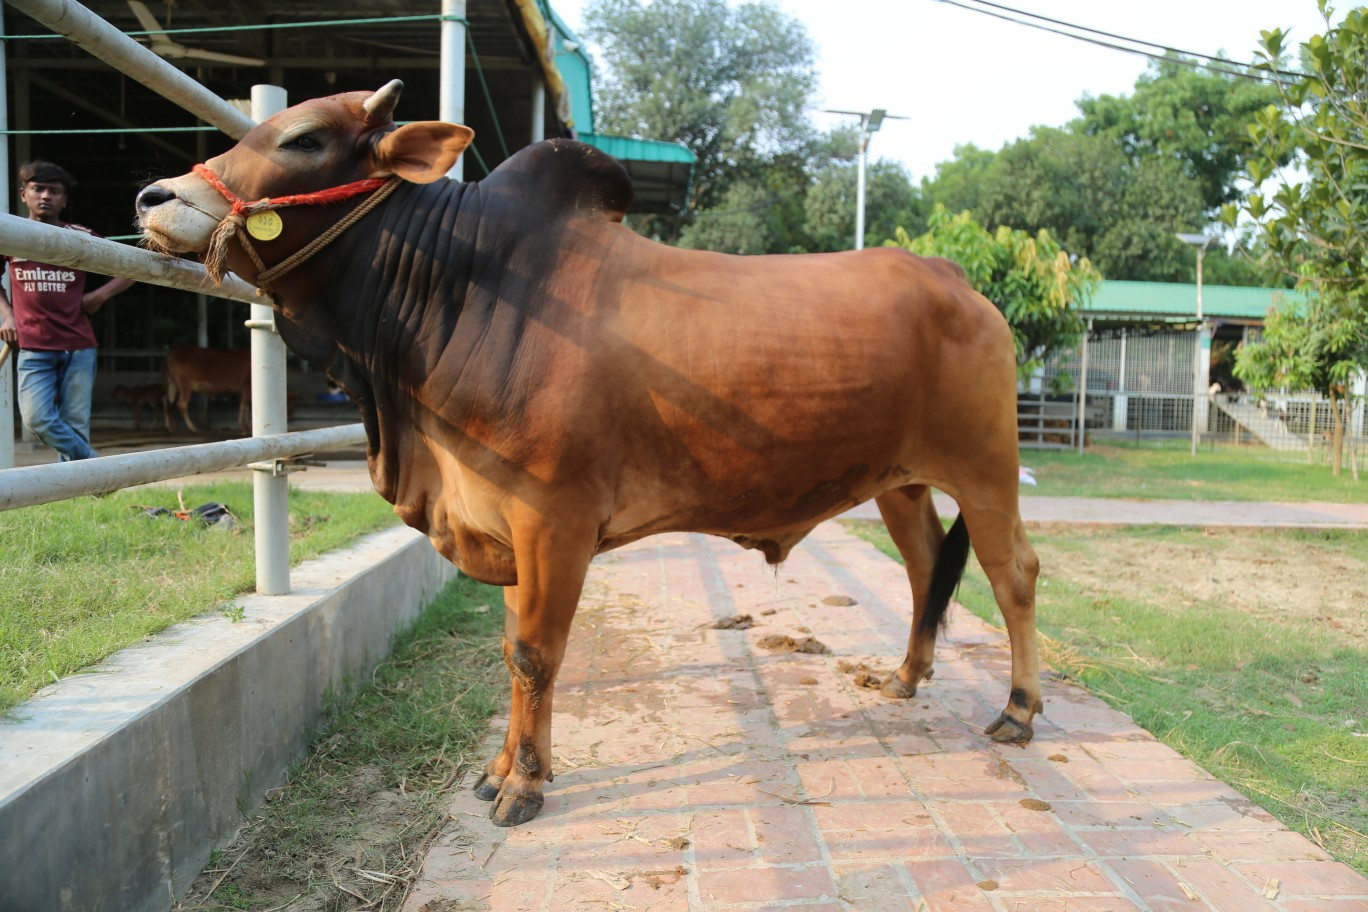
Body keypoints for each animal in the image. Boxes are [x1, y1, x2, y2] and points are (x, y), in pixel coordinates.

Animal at [135, 81, 1041, 827]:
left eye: (304, 138)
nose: (153, 195)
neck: (453, 296)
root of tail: (954, 279)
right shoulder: (505, 529)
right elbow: (511, 651)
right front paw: (497, 769)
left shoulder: (554, 522)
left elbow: (536, 654)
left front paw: (524, 785)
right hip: (901, 482)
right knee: (925, 566)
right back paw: (907, 676)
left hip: (987, 469)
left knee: (1013, 573)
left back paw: (1020, 709)